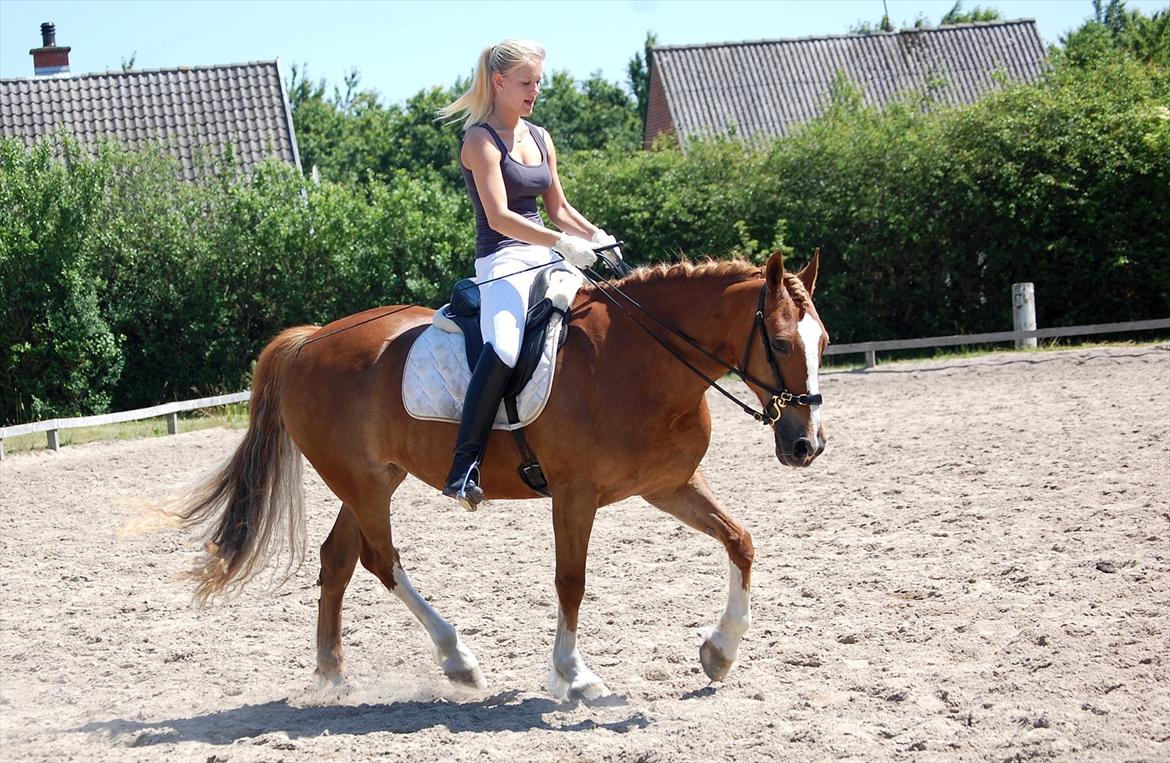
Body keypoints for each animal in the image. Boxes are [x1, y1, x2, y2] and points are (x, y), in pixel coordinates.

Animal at [175, 249, 833, 697]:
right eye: (779, 342)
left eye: (823, 341)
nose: (806, 446)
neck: (640, 363)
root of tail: (310, 341)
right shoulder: (574, 495)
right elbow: (571, 581)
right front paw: (574, 675)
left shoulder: (669, 486)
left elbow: (740, 540)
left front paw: (720, 652)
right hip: (360, 483)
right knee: (381, 561)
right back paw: (458, 660)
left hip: (374, 479)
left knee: (338, 560)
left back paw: (332, 677)